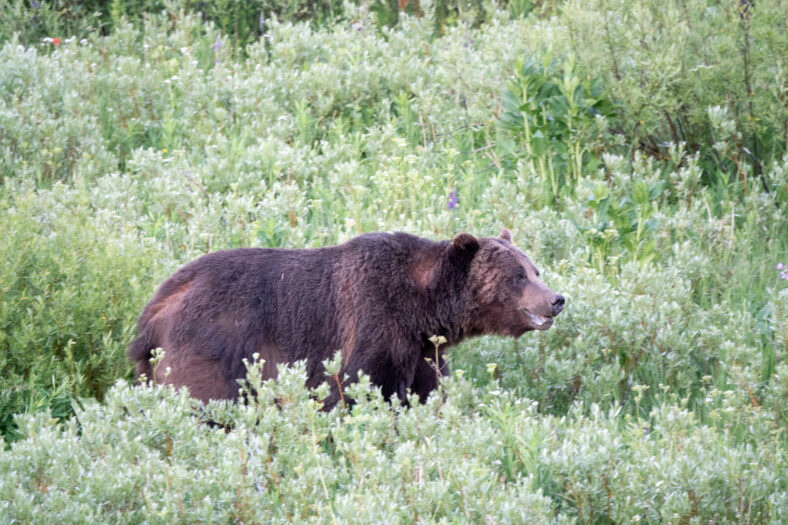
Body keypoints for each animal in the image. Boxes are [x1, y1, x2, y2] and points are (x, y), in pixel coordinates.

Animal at [127, 228, 560, 406]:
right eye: (518, 275)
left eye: (535, 269)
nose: (556, 299)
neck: (422, 308)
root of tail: (153, 309)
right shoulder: (373, 320)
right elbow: (356, 389)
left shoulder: (421, 349)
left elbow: (428, 390)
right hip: (213, 346)